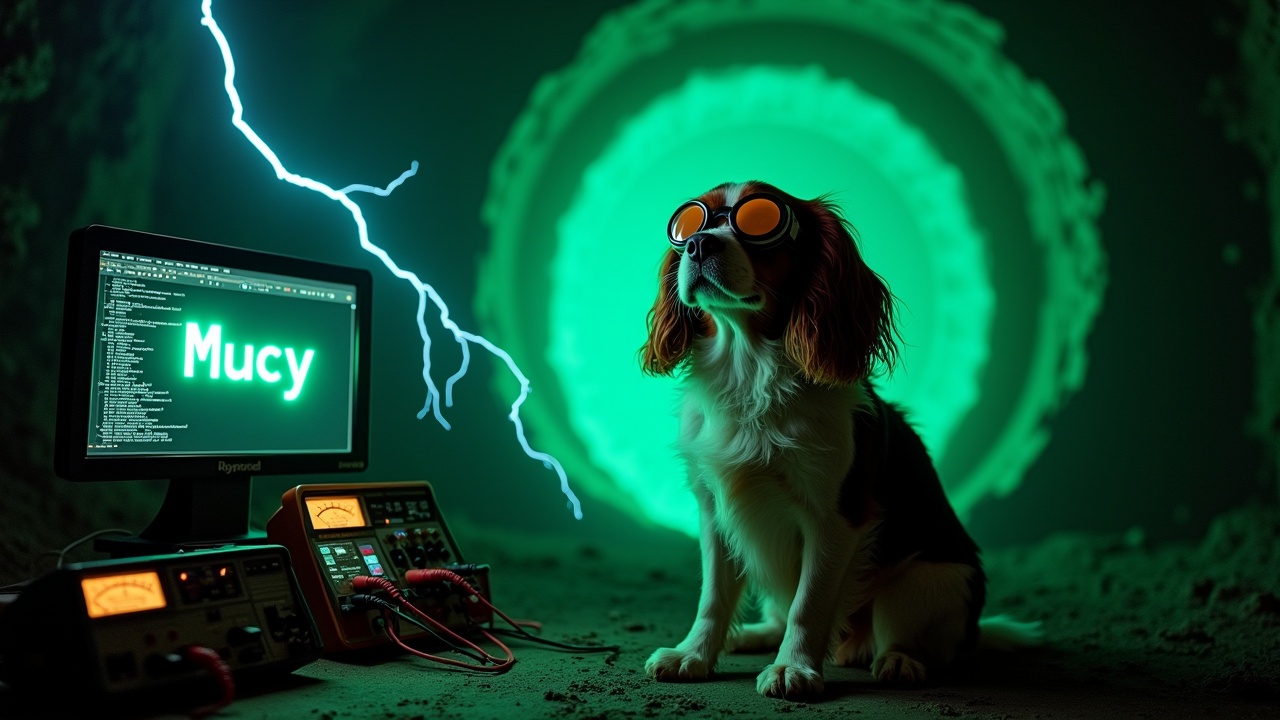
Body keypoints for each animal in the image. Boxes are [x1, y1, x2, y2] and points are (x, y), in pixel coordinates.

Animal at [640, 181, 1039, 696]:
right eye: (689, 223)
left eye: (760, 219)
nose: (697, 244)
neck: (747, 372)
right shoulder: (713, 510)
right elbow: (713, 596)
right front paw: (693, 655)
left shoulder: (835, 520)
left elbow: (808, 604)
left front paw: (792, 669)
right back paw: (754, 635)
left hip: (927, 581)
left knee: (909, 636)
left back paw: (898, 661)